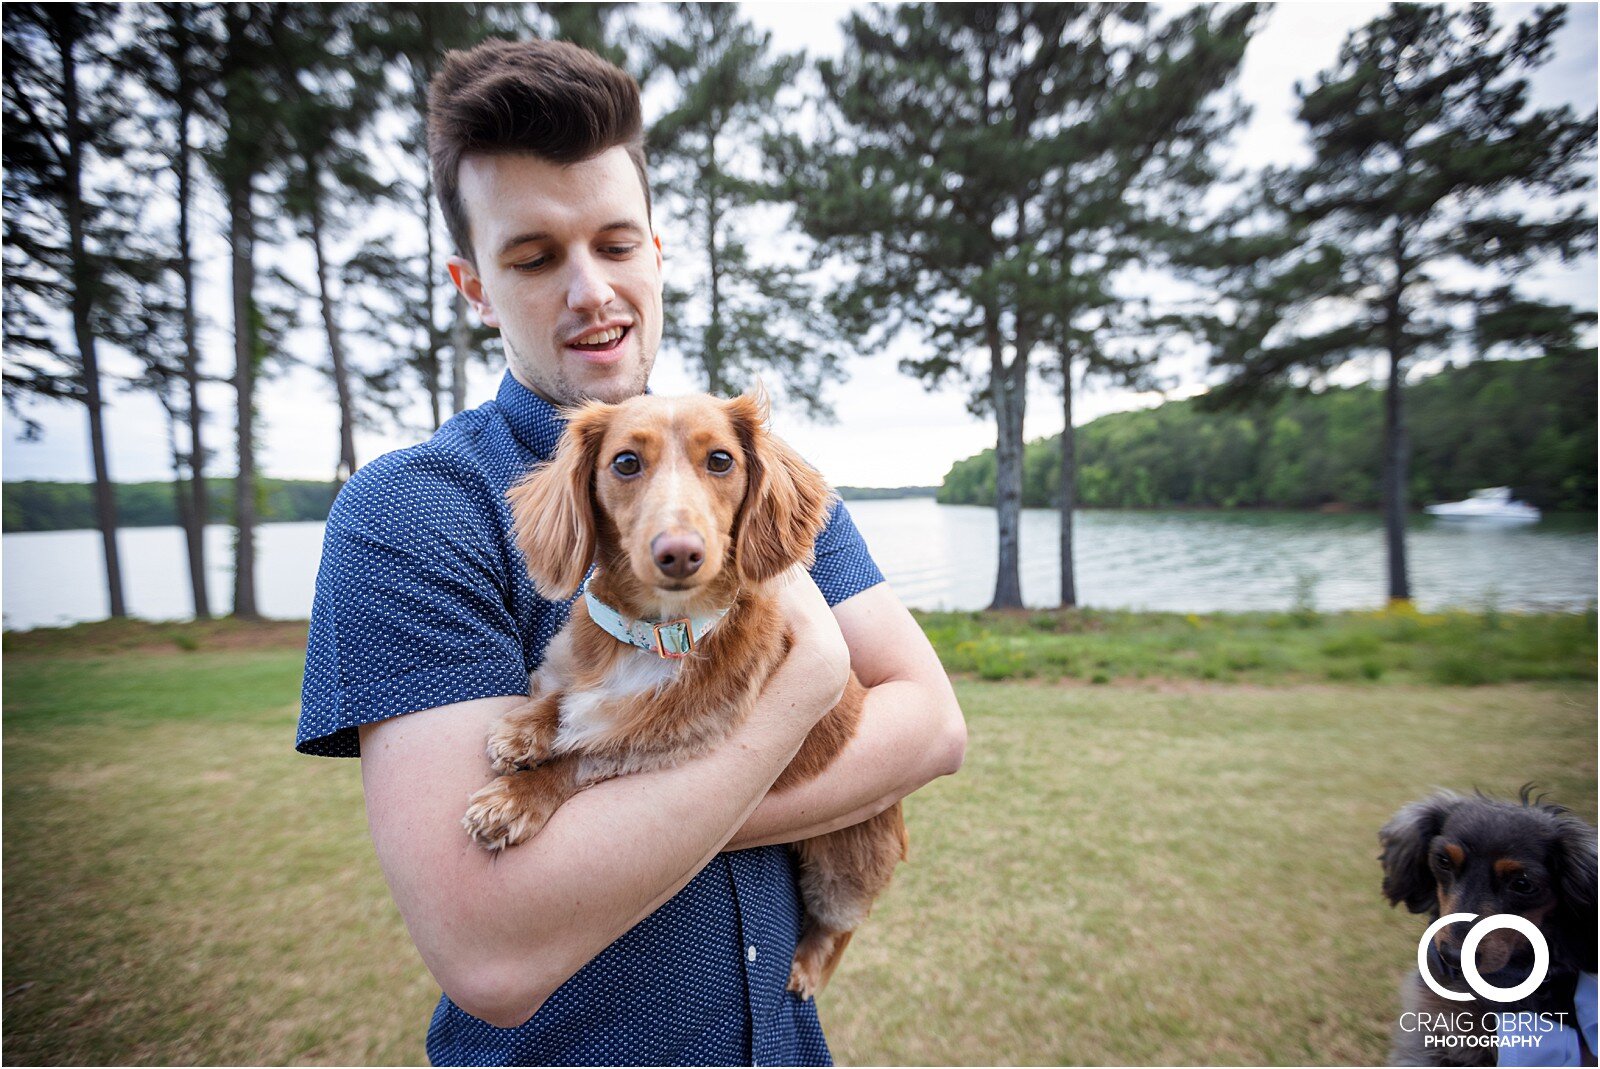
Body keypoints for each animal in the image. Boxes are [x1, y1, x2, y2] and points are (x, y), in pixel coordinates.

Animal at [464, 388, 915, 998]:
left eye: (721, 460)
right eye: (625, 462)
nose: (679, 552)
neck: (659, 634)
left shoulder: (673, 740)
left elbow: (584, 760)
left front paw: (515, 799)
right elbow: (566, 693)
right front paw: (526, 727)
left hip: (845, 862)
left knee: (839, 925)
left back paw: (806, 966)